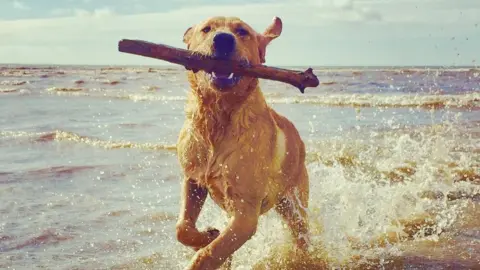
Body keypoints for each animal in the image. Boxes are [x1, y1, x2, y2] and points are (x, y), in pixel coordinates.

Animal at [174, 15, 310, 268]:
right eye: (207, 29)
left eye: (242, 32)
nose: (223, 40)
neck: (218, 120)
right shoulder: (193, 181)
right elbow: (183, 229)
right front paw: (208, 235)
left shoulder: (246, 215)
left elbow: (208, 255)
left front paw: (206, 249)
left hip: (295, 206)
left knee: (302, 235)